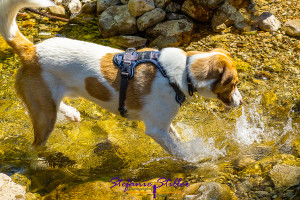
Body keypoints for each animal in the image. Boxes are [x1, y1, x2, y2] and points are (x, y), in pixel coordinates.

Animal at [0, 0, 243, 156]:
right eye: (233, 84)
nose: (241, 103)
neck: (182, 72)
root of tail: (31, 51)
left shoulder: (164, 124)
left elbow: (176, 137)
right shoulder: (156, 129)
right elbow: (179, 151)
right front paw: (197, 161)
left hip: (48, 102)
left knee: (56, 106)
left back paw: (71, 114)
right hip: (44, 117)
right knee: (34, 145)